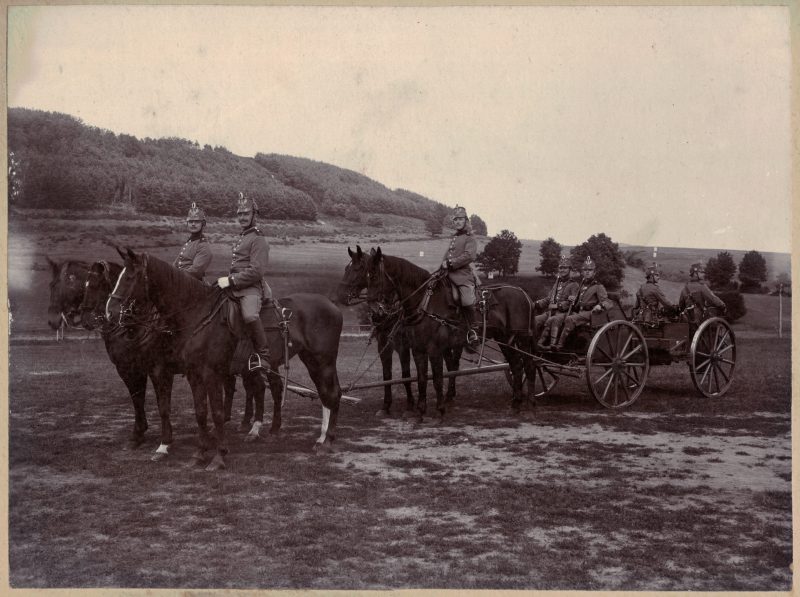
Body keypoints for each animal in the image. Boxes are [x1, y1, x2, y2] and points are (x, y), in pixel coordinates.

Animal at [105, 248, 340, 470]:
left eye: (130, 277)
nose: (110, 312)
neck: (197, 315)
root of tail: (331, 304)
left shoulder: (206, 373)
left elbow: (216, 413)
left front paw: (218, 456)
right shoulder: (193, 375)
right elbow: (200, 412)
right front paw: (198, 454)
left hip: (323, 361)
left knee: (332, 393)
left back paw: (326, 441)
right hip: (311, 361)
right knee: (323, 394)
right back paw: (319, 438)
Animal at [366, 247, 536, 420]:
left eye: (374, 276)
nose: (376, 311)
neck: (424, 303)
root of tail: (524, 294)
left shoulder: (427, 348)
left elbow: (431, 377)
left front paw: (435, 408)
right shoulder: (410, 348)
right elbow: (412, 377)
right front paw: (413, 409)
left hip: (522, 338)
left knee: (529, 365)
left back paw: (529, 404)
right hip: (506, 339)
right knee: (516, 366)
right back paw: (516, 403)